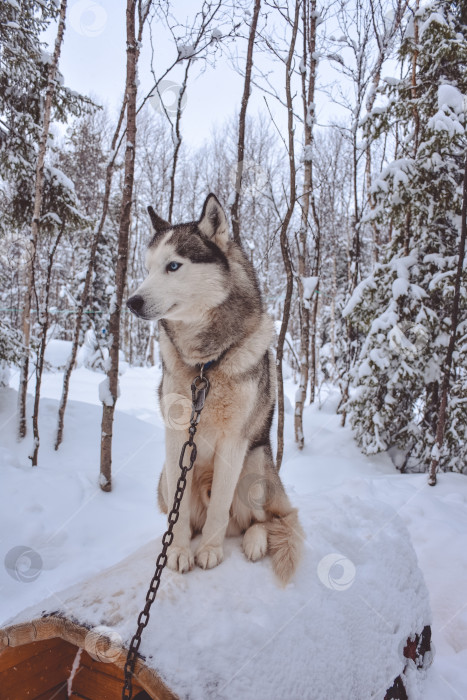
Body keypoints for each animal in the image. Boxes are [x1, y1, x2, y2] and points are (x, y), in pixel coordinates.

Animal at [127, 193, 304, 584]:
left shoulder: (234, 442)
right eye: (147, 268)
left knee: (260, 520)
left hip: (255, 464)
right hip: (166, 478)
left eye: (173, 266)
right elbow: (177, 519)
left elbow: (221, 508)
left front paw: (209, 550)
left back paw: (254, 540)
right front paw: (177, 551)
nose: (132, 302)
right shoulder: (177, 439)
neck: (206, 365)